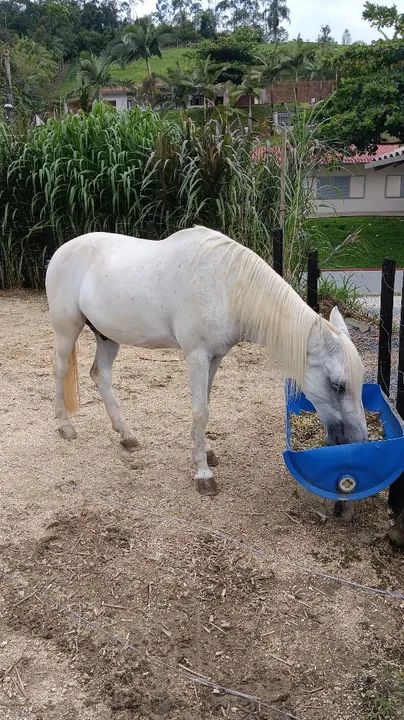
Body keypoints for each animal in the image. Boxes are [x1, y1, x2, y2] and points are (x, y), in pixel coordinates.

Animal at [45, 225, 367, 496]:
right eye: (337, 385)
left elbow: (206, 405)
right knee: (60, 370)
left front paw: (207, 454)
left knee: (101, 376)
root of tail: (61, 251)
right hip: (67, 329)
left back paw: (127, 436)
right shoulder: (197, 356)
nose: (358, 440)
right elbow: (200, 412)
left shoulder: (215, 357)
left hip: (107, 337)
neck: (228, 286)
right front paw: (203, 474)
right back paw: (65, 427)